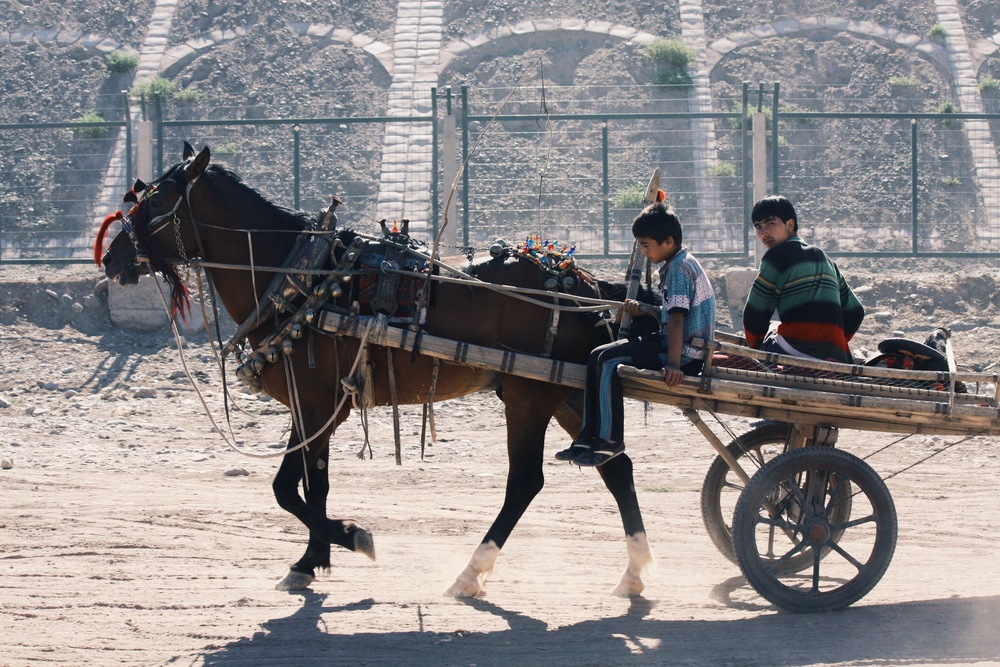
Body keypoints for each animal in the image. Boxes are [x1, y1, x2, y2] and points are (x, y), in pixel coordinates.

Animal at [94, 144, 656, 596]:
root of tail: (589, 284)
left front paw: (350, 537)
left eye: (158, 201)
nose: (113, 258)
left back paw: (471, 573)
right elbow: (309, 485)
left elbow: (289, 489)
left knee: (526, 482)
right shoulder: (314, 407)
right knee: (616, 466)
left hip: (527, 396)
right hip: (568, 392)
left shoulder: (318, 404)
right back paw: (633, 571)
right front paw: (311, 559)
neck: (298, 276)